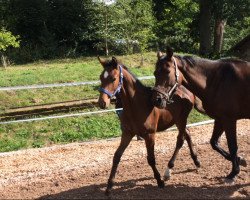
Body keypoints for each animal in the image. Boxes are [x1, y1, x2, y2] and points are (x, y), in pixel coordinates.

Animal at [98, 56, 201, 195]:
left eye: (113, 78)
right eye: (100, 78)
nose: (102, 103)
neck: (137, 104)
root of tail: (186, 89)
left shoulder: (150, 135)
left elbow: (151, 159)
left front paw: (159, 181)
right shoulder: (127, 133)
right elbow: (117, 156)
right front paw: (109, 187)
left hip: (181, 119)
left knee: (181, 139)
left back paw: (168, 171)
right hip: (179, 121)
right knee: (188, 135)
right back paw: (196, 161)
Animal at [151, 47, 249, 182]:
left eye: (167, 71)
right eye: (155, 73)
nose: (157, 100)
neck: (218, 80)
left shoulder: (229, 119)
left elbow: (233, 145)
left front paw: (234, 172)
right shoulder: (220, 119)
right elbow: (214, 143)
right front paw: (240, 160)